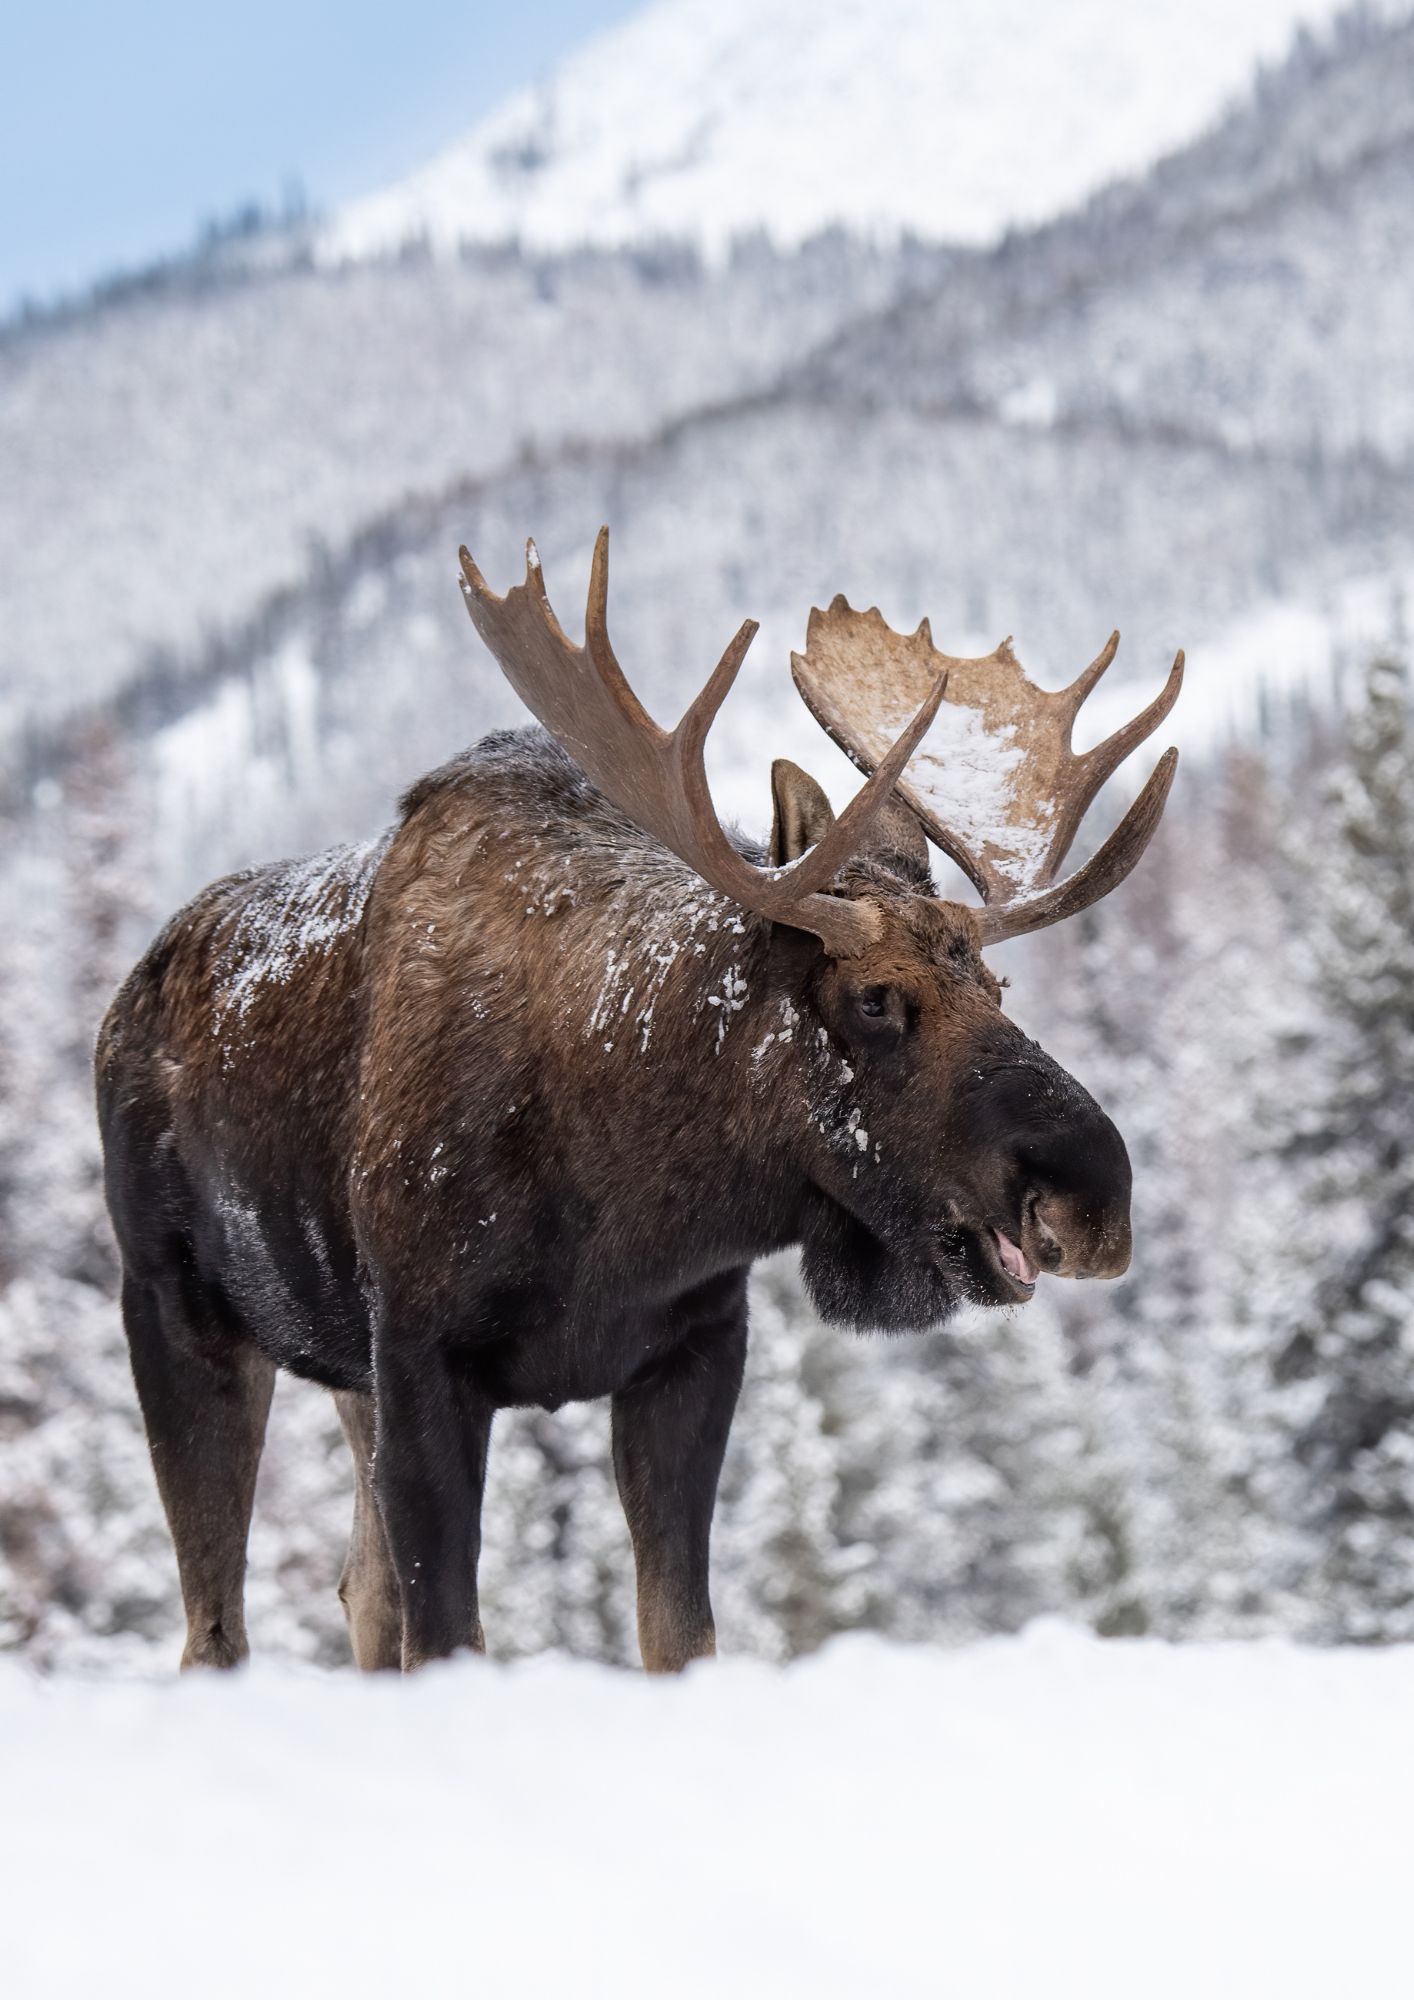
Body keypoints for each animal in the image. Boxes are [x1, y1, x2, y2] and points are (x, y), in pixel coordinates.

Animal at [97, 529, 1183, 1675]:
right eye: (876, 998)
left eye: (998, 985)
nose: (1093, 1196)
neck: (624, 1204)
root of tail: (126, 1000)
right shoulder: (424, 1358)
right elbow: (452, 1637)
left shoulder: (691, 1350)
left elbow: (678, 1634)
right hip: (174, 1309)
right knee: (214, 1625)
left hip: (344, 1375)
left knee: (360, 1591)